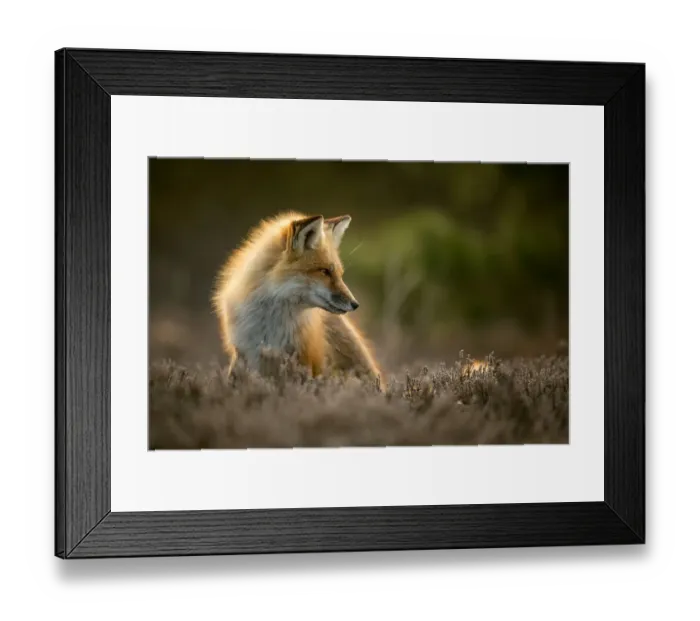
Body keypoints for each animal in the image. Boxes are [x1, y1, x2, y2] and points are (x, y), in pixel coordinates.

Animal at [212, 212, 384, 390]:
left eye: (338, 274)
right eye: (325, 271)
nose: (355, 304)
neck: (270, 326)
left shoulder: (304, 360)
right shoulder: (242, 352)